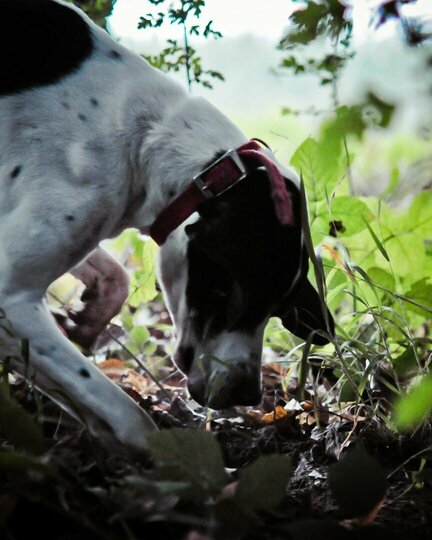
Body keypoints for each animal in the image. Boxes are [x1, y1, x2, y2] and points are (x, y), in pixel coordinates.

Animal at [0, 0, 334, 452]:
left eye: (277, 307)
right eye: (236, 297)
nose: (248, 394)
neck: (143, 135)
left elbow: (117, 278)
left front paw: (88, 320)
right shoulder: (11, 293)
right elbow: (128, 415)